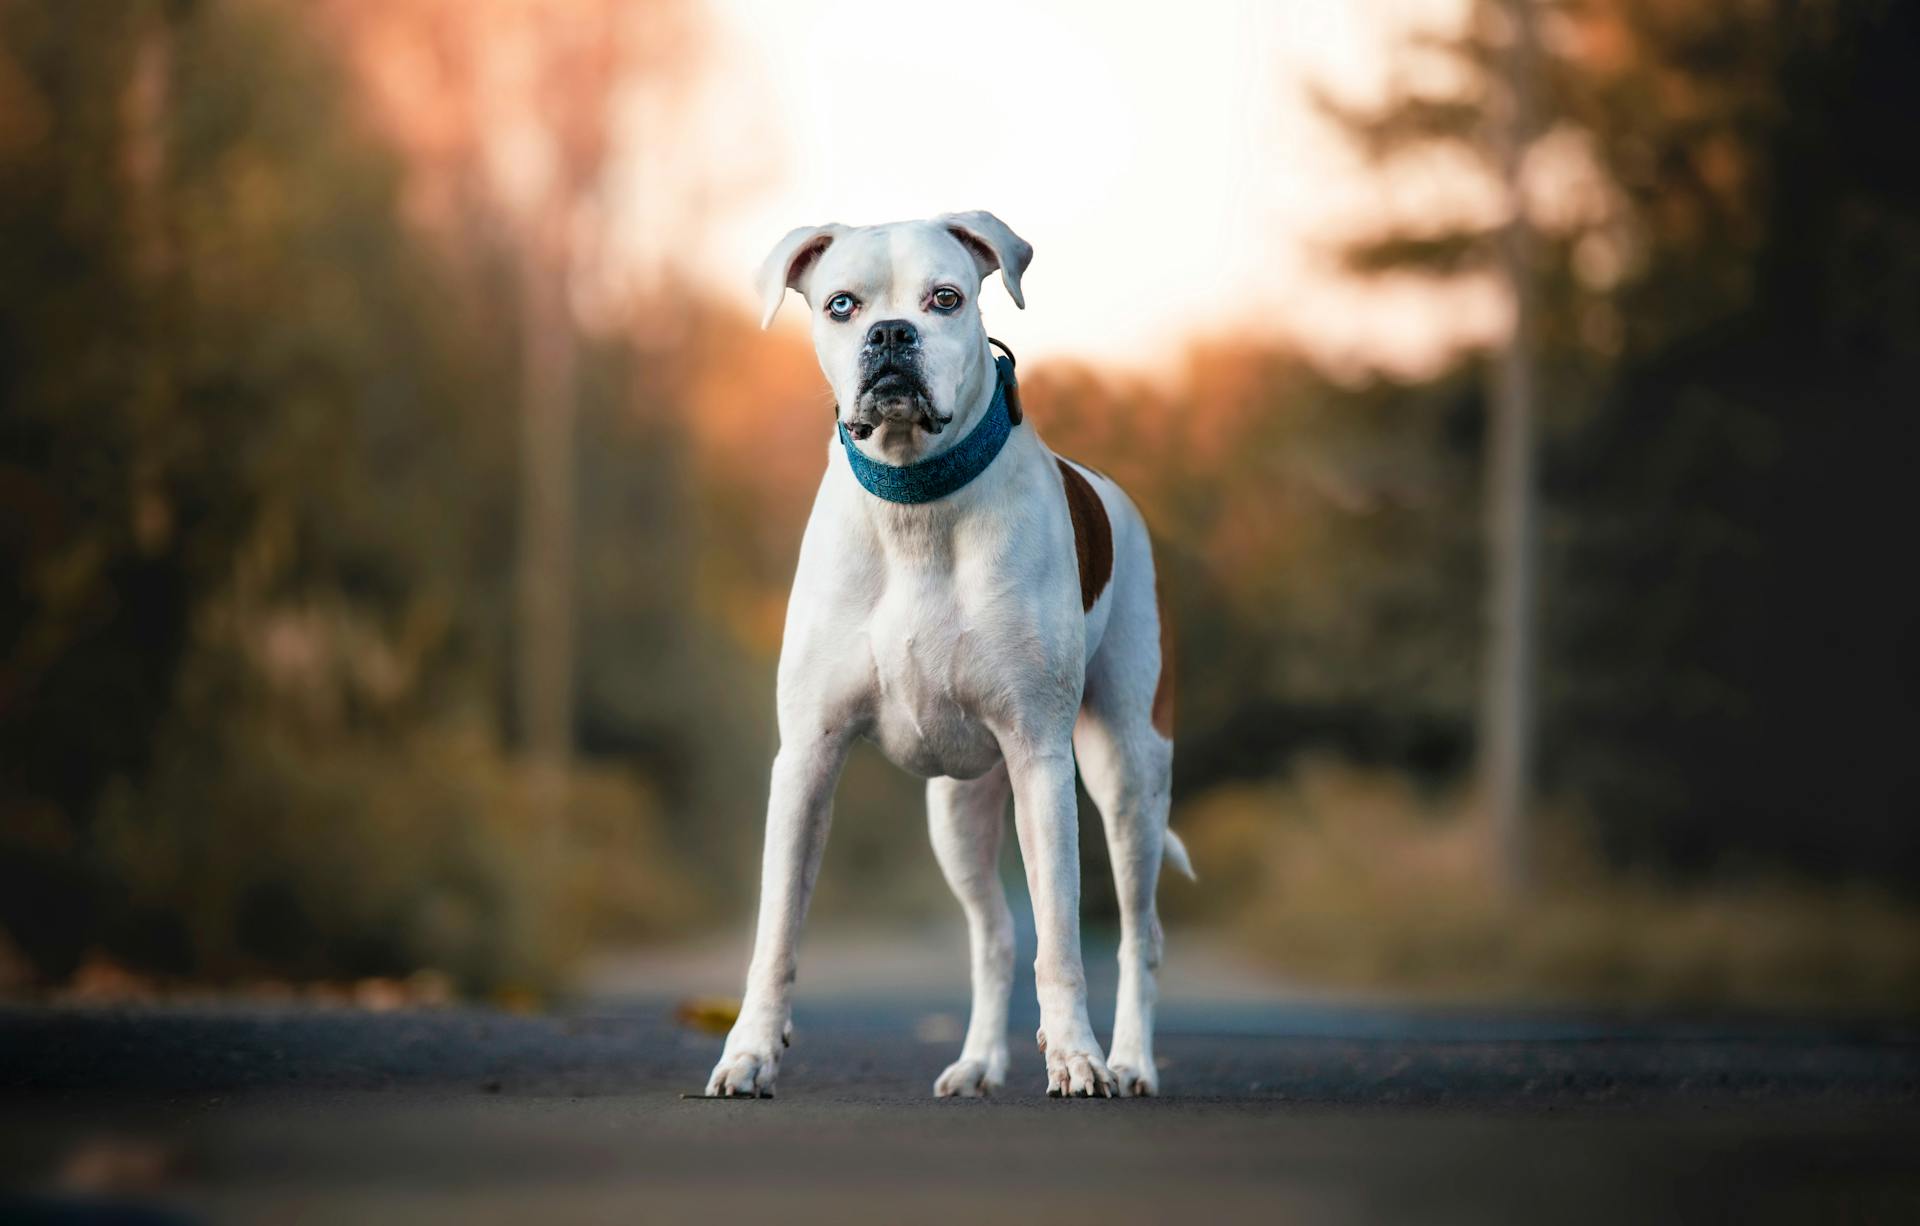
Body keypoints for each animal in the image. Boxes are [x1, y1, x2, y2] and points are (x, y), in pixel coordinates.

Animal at [706, 211, 1182, 1105]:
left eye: (946, 298)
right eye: (842, 304)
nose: (893, 333)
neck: (915, 503)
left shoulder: (1039, 758)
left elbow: (1062, 939)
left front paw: (1076, 1058)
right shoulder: (807, 759)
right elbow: (777, 929)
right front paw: (749, 1053)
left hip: (1127, 777)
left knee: (1138, 934)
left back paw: (1132, 1061)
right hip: (957, 815)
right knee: (993, 935)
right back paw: (979, 1063)